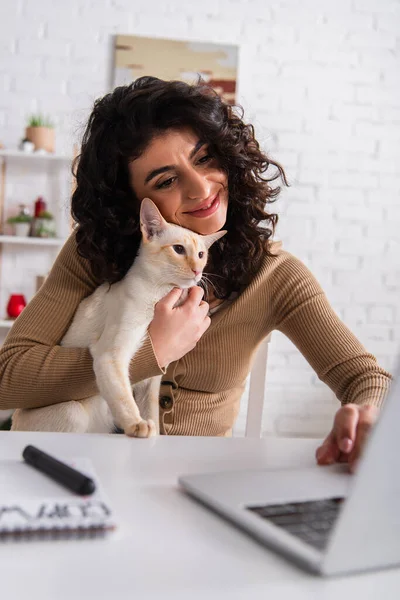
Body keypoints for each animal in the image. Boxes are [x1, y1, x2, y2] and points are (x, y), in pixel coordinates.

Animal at [11, 199, 225, 438]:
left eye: (201, 255)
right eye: (178, 249)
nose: (198, 271)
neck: (161, 294)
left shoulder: (152, 380)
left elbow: (151, 413)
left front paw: (152, 433)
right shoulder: (111, 355)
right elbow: (124, 399)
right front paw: (137, 426)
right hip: (73, 411)